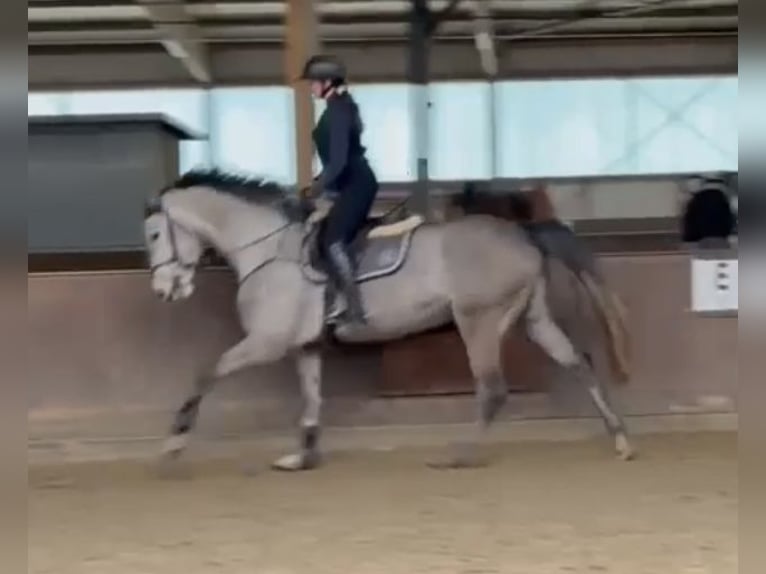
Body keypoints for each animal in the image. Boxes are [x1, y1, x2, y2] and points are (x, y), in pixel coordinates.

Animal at [144, 170, 636, 472]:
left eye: (152, 234)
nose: (164, 290)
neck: (268, 249)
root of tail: (522, 232)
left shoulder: (267, 341)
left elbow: (207, 371)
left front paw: (173, 442)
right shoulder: (305, 345)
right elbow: (312, 397)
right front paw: (303, 457)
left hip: (478, 320)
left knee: (493, 389)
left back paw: (460, 455)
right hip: (532, 318)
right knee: (579, 363)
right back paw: (621, 442)